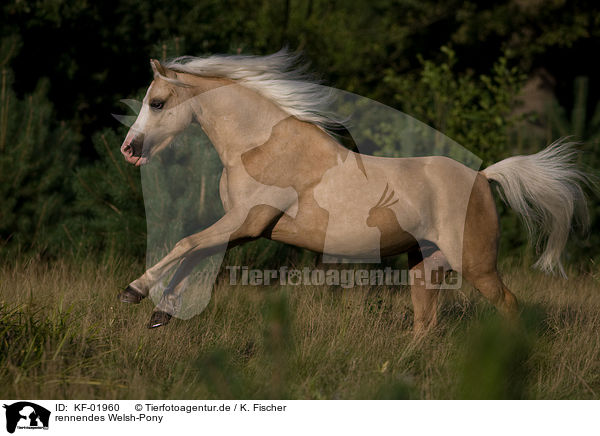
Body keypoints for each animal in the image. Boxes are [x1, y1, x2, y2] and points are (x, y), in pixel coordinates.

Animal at [118, 49, 592, 332]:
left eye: (157, 102)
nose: (129, 149)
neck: (259, 146)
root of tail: (482, 177)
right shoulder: (244, 228)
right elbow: (194, 253)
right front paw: (161, 312)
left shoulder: (245, 221)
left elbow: (185, 244)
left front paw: (135, 291)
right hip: (426, 264)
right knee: (425, 323)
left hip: (475, 265)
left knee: (509, 306)